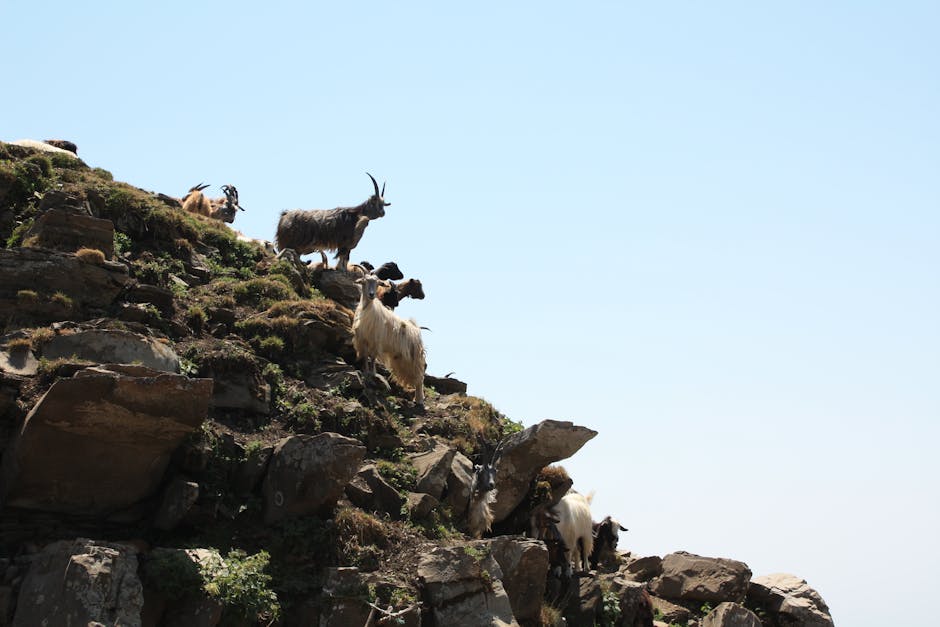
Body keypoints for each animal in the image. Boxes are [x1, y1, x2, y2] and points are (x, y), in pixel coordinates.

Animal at [352, 273, 425, 405]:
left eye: (377, 284)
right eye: (364, 282)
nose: (371, 294)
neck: (368, 309)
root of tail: (416, 329)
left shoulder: (376, 341)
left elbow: (373, 358)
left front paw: (373, 373)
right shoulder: (363, 340)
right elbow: (365, 357)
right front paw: (366, 372)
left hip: (415, 357)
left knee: (420, 378)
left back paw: (419, 400)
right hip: (402, 359)